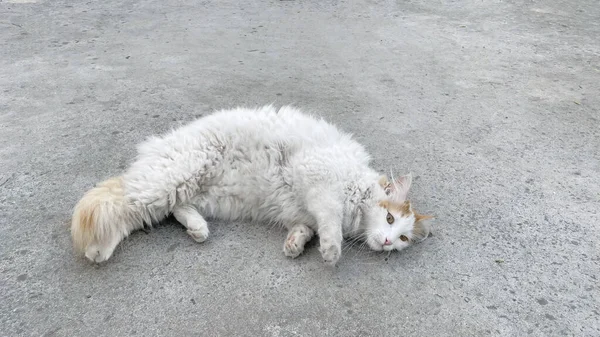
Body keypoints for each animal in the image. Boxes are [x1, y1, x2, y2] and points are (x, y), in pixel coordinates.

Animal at [71, 105, 432, 266]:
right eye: (389, 218)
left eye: (403, 238)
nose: (388, 242)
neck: (357, 186)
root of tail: (157, 147)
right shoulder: (320, 180)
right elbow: (329, 221)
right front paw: (331, 250)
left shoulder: (303, 212)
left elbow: (306, 228)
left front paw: (295, 245)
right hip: (171, 180)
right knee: (125, 205)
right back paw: (97, 251)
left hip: (197, 193)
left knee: (174, 209)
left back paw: (198, 229)